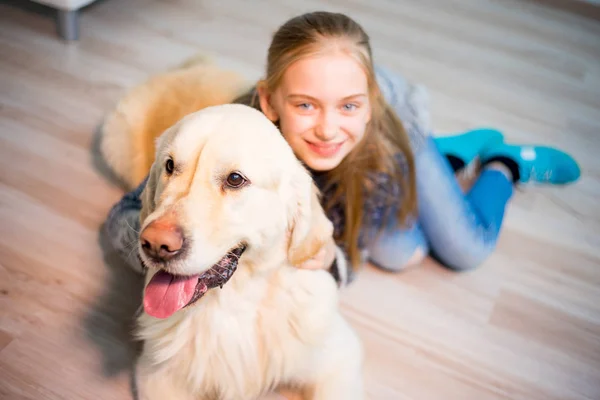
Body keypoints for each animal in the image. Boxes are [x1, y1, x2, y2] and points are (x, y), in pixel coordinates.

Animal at [134, 104, 364, 400]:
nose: (155, 244)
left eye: (235, 179)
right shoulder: (156, 374)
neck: (233, 302)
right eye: (170, 165)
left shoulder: (339, 360)